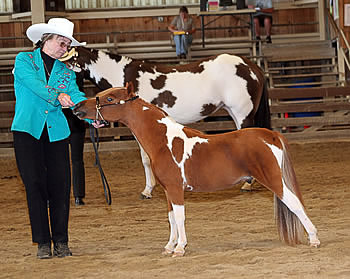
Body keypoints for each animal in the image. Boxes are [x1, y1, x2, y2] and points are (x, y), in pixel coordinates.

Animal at [61, 46, 272, 199]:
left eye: (67, 64)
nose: (74, 106)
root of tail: (253, 67)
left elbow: (145, 158)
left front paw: (147, 191)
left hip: (242, 114)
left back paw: (247, 184)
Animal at [74, 84, 320, 258]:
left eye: (109, 99)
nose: (77, 108)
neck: (164, 141)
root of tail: (270, 135)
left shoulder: (175, 189)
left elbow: (180, 217)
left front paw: (180, 248)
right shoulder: (167, 191)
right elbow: (171, 218)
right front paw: (169, 246)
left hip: (274, 180)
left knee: (295, 203)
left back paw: (314, 239)